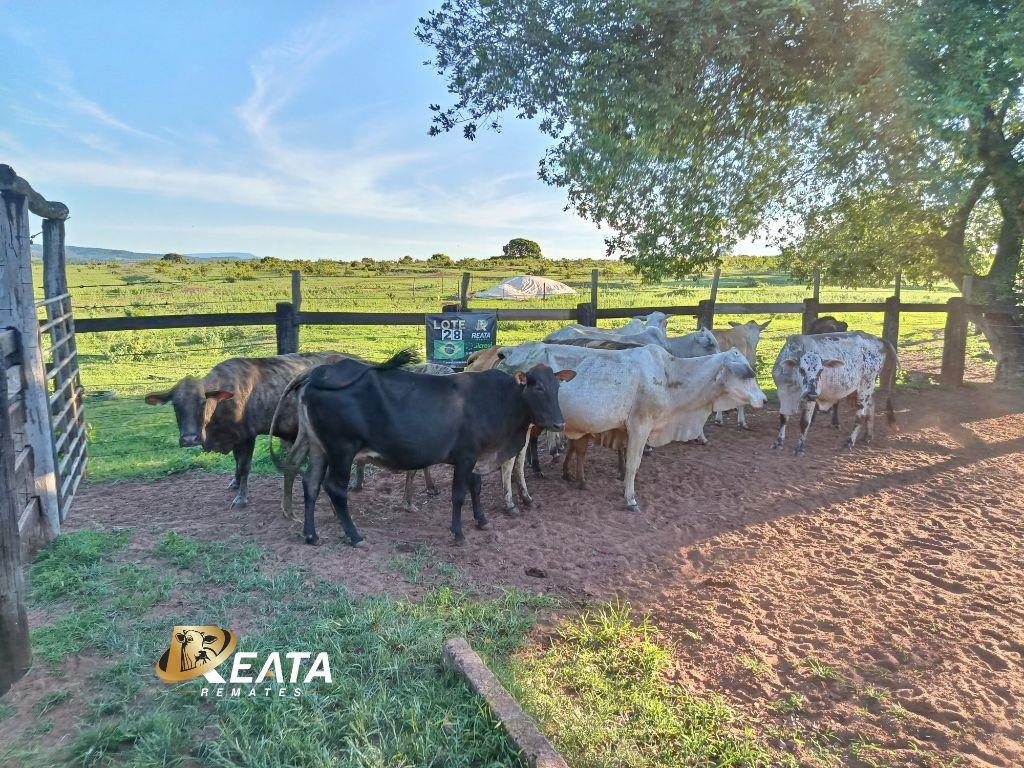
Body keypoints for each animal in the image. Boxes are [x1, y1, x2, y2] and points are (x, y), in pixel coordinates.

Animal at [145, 352, 348, 509]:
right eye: (175, 405)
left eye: (203, 402)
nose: (189, 439)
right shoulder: (234, 438)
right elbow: (237, 463)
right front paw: (235, 483)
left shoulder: (247, 436)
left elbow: (244, 466)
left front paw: (241, 498)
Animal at [277, 349, 575, 546]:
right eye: (537, 388)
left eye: (557, 386)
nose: (559, 423)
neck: (500, 400)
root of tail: (318, 373)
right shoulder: (465, 456)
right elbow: (459, 495)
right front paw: (458, 533)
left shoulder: (478, 457)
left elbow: (476, 488)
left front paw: (481, 521)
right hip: (342, 450)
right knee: (335, 489)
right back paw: (354, 535)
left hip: (318, 447)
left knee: (311, 483)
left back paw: (311, 535)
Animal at [496, 343, 766, 513]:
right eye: (747, 374)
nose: (763, 399)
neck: (669, 376)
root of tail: (505, 355)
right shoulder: (640, 425)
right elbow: (634, 464)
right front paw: (631, 499)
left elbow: (625, 461)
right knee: (509, 462)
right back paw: (511, 503)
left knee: (518, 461)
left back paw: (525, 496)